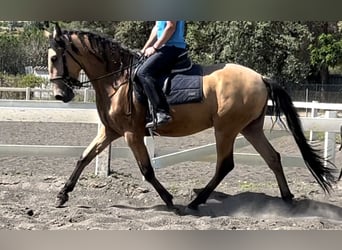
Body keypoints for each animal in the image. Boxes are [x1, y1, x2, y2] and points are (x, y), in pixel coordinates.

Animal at [44, 23, 336, 211]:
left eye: (55, 57)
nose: (60, 95)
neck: (117, 79)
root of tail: (261, 78)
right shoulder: (110, 131)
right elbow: (83, 158)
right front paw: (61, 195)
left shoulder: (131, 134)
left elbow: (147, 170)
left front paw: (169, 200)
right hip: (250, 128)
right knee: (272, 157)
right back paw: (287, 199)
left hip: (226, 129)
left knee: (225, 165)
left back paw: (197, 202)